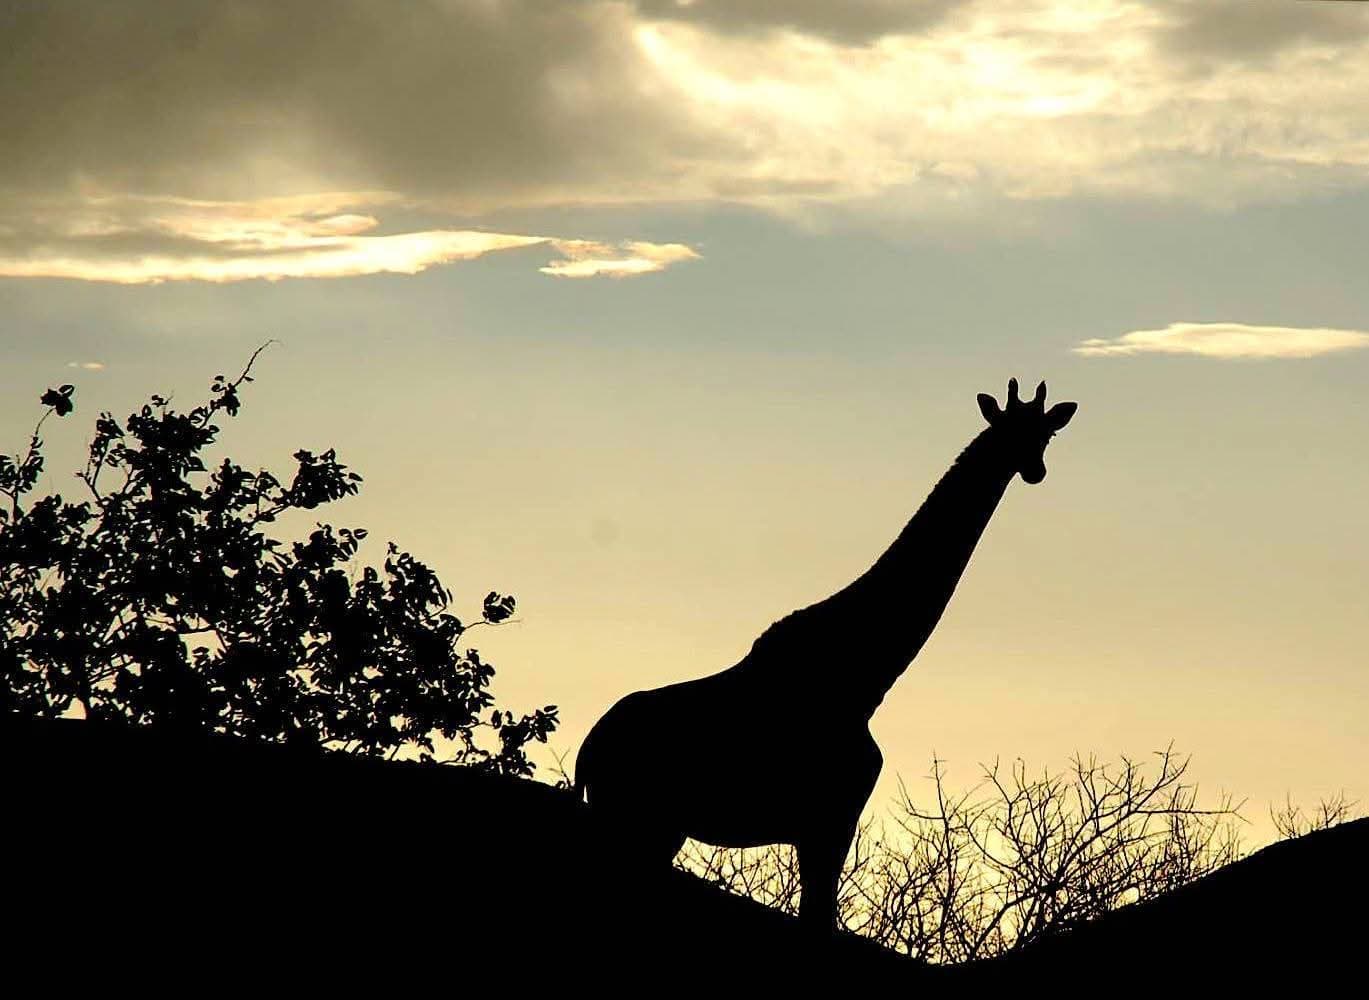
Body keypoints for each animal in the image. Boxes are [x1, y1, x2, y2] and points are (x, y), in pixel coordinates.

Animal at [575, 379, 1078, 931]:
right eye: (1008, 429)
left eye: (1047, 434)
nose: (1034, 470)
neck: (865, 676)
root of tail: (589, 750)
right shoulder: (831, 822)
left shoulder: (824, 825)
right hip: (632, 817)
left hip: (657, 826)